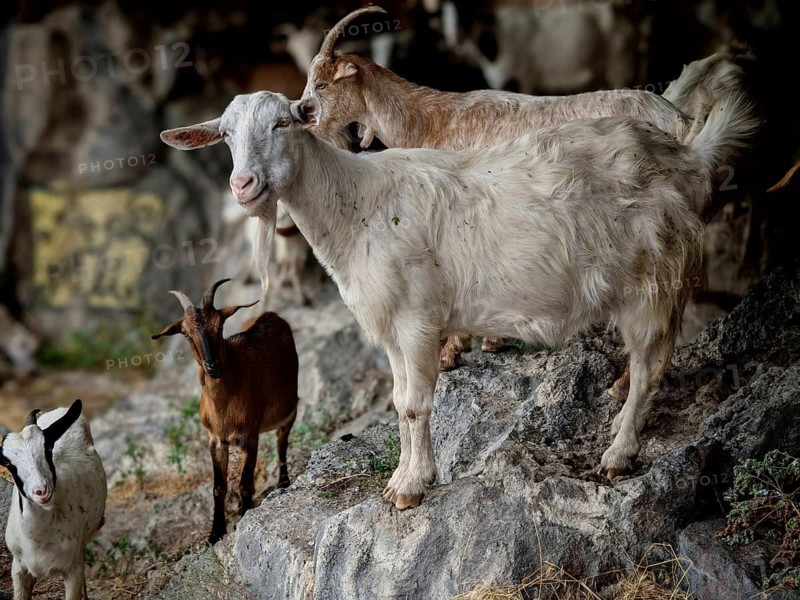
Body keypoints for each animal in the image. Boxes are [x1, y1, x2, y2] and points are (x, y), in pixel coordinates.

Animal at [1, 400, 107, 600]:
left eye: (47, 448)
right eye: (9, 464)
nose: (41, 491)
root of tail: (60, 410)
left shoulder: (73, 570)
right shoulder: (18, 568)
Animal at [151, 278, 298, 543]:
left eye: (220, 325)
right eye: (185, 333)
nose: (212, 367)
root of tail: (272, 316)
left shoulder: (250, 436)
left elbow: (245, 484)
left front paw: (243, 519)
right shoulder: (216, 439)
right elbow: (219, 487)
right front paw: (215, 533)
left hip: (289, 412)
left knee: (282, 445)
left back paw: (283, 483)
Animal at [160, 88, 757, 509]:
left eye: (282, 122)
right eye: (226, 135)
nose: (243, 185)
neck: (356, 205)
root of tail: (686, 157)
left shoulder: (418, 319)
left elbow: (416, 404)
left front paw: (410, 489)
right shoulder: (392, 328)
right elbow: (399, 402)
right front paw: (405, 476)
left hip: (652, 280)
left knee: (651, 364)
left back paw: (618, 453)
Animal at [296, 7, 750, 375]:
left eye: (322, 85)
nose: (303, 117)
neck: (433, 121)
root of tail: (683, 124)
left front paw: (454, 353)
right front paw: (489, 343)